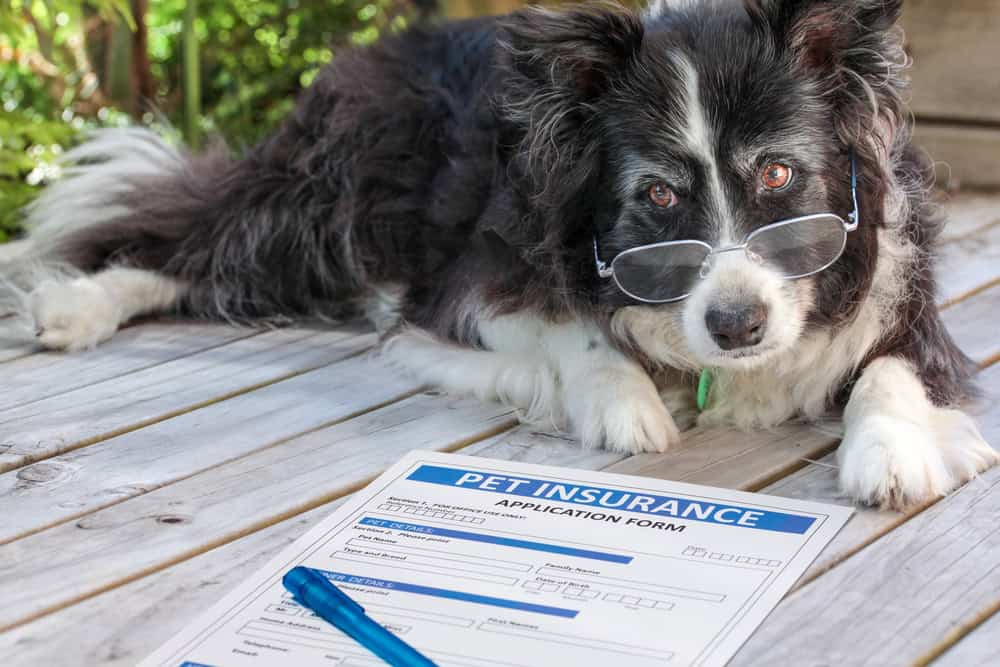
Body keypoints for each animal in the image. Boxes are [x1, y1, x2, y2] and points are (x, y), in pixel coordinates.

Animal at [3, 0, 996, 508]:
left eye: (781, 174)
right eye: (658, 196)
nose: (736, 325)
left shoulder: (903, 293)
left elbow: (894, 368)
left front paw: (891, 451)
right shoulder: (470, 280)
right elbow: (571, 329)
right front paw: (624, 401)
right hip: (333, 197)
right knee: (202, 238)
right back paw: (76, 306)